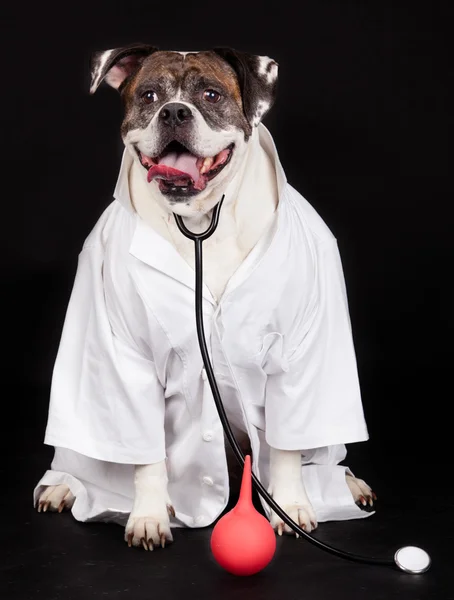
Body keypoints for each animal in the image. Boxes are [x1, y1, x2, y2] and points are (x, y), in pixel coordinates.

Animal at [35, 45, 376, 552]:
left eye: (211, 94)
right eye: (149, 95)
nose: (174, 112)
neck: (199, 220)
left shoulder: (300, 356)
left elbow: (288, 446)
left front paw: (291, 506)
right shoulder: (125, 357)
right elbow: (146, 456)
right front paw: (149, 515)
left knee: (322, 451)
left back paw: (348, 483)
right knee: (83, 456)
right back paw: (63, 486)